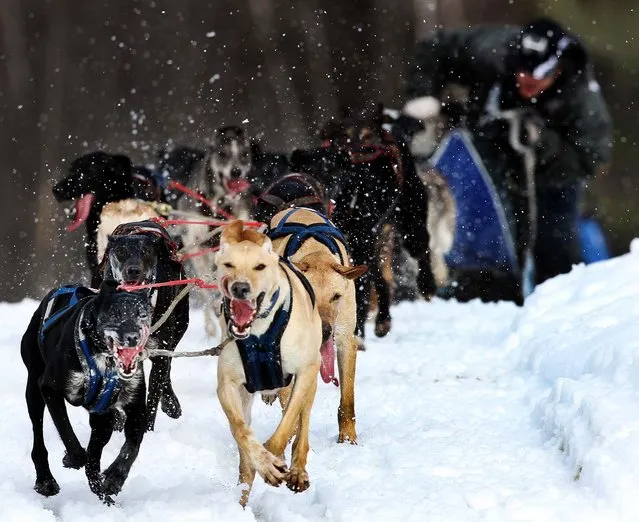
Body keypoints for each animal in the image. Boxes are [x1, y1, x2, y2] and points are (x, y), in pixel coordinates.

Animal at [21, 280, 152, 504]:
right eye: (115, 314)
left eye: (142, 314)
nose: (132, 337)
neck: (105, 363)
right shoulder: (49, 388)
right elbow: (67, 432)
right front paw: (73, 457)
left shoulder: (134, 408)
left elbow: (132, 447)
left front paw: (114, 478)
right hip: (34, 393)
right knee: (38, 437)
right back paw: (46, 480)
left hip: (102, 418)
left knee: (95, 456)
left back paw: (102, 494)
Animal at [92, 219, 190, 430]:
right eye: (121, 251)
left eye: (145, 252)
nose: (133, 270)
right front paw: (118, 419)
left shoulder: (160, 351)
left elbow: (152, 399)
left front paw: (147, 431)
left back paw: (170, 403)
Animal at [215, 219, 322, 504]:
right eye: (228, 265)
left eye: (259, 267)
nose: (240, 287)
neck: (259, 335)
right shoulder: (228, 386)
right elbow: (241, 431)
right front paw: (263, 463)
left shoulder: (304, 372)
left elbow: (287, 426)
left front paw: (273, 458)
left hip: (309, 379)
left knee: (302, 428)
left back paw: (297, 471)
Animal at [268, 207, 368, 442]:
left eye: (336, 296)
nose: (324, 331)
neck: (315, 252)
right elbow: (288, 401)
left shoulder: (345, 340)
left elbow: (347, 399)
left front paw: (347, 438)